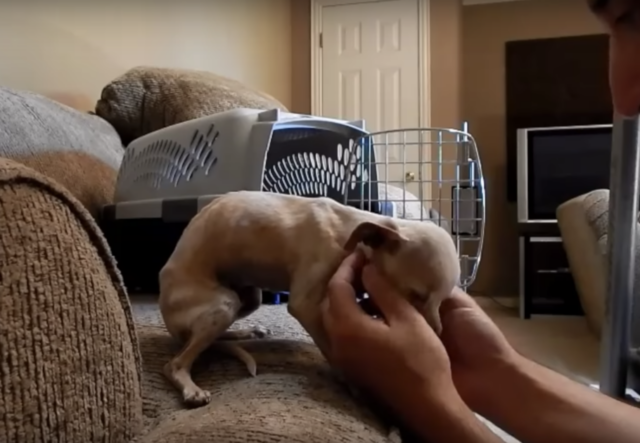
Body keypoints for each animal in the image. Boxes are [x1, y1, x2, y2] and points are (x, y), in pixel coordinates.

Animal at [159, 191, 460, 407]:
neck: (352, 231)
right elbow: (333, 350)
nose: (437, 339)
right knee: (175, 364)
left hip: (248, 298)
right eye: (414, 295)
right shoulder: (305, 305)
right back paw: (191, 388)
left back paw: (246, 332)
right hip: (224, 305)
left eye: (443, 300)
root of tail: (169, 321)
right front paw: (354, 384)